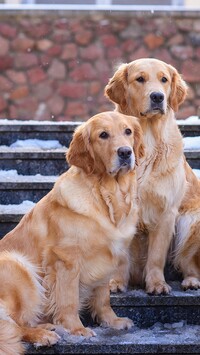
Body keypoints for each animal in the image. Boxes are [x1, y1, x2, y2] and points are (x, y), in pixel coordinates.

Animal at [0, 110, 144, 354]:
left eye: (128, 131)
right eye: (103, 135)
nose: (125, 152)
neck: (106, 197)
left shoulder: (107, 258)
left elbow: (103, 298)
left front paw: (111, 321)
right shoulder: (65, 260)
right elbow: (69, 299)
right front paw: (76, 329)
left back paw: (47, 326)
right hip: (19, 267)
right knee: (12, 325)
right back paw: (43, 335)